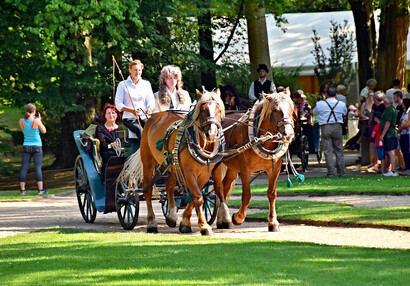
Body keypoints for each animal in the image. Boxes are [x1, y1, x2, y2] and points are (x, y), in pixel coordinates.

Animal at [120, 89, 226, 235]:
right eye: (203, 110)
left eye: (219, 109)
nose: (211, 134)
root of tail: (154, 117)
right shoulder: (189, 171)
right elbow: (198, 197)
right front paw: (205, 227)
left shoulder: (204, 174)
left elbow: (197, 197)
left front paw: (185, 223)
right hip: (148, 162)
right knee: (147, 190)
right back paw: (151, 223)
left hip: (173, 165)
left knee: (168, 185)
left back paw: (171, 216)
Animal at [215, 90, 298, 231]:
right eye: (275, 110)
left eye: (291, 109)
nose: (288, 134)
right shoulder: (245, 170)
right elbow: (247, 196)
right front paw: (238, 217)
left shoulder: (274, 169)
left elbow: (272, 194)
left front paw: (273, 222)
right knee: (217, 188)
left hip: (232, 168)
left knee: (224, 187)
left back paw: (223, 220)